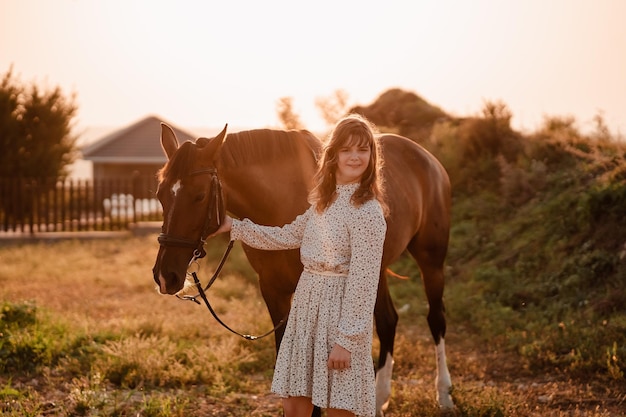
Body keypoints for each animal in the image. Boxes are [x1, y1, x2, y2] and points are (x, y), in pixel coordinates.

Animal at [151, 122, 454, 414]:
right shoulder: (272, 291)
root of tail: (427, 158)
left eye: (200, 195)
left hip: (430, 263)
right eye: (160, 195)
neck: (280, 201)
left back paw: (443, 394)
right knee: (388, 321)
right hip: (373, 273)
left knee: (435, 318)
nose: (165, 276)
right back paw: (379, 400)